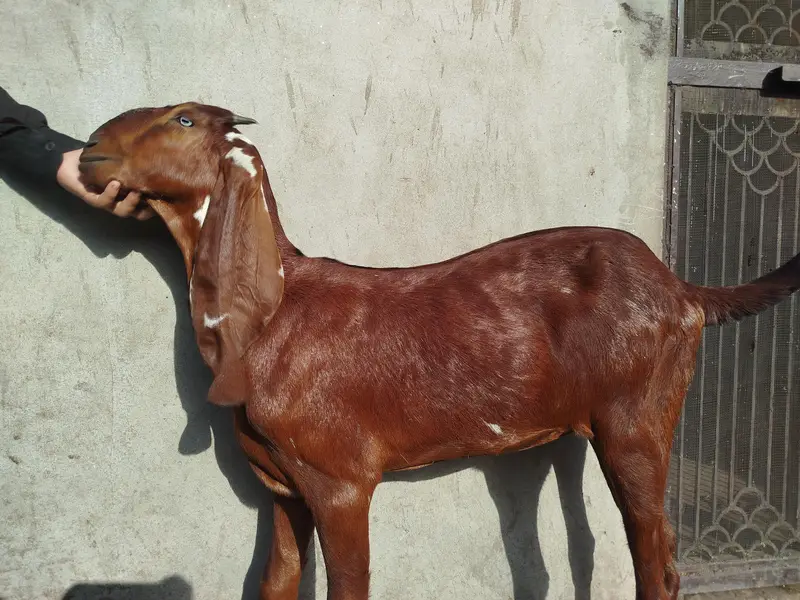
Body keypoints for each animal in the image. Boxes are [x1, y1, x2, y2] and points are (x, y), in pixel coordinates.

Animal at [76, 102, 800, 600]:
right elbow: (274, 582)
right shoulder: (281, 487)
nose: (90, 148)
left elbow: (349, 585)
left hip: (637, 416)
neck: (276, 314)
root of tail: (680, 289)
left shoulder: (341, 481)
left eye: (183, 117)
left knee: (657, 560)